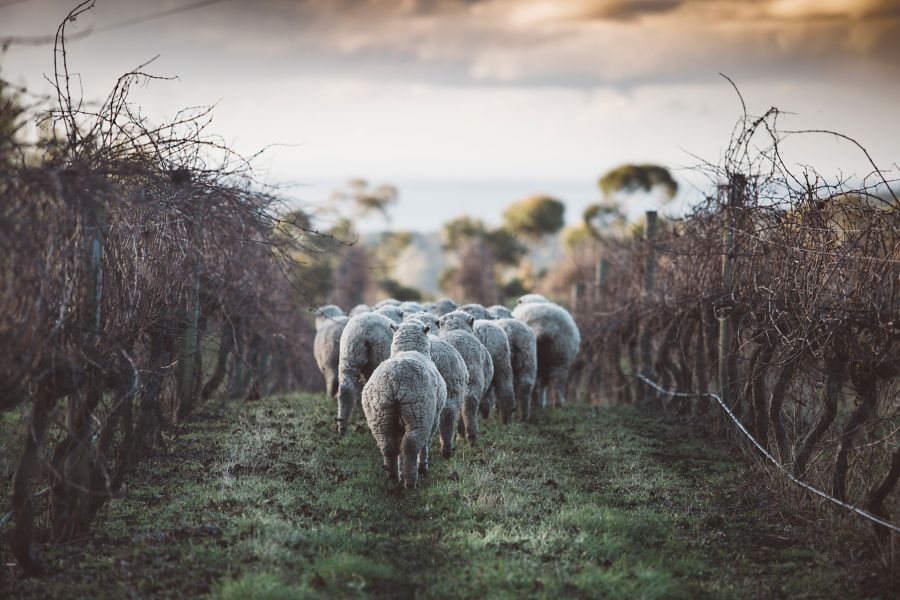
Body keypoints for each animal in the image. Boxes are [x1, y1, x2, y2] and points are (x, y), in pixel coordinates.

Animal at [361, 319, 447, 488]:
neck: (407, 349)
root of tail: (394, 380)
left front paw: (400, 470)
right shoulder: (434, 418)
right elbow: (426, 444)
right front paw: (423, 467)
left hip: (379, 414)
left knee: (388, 445)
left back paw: (393, 476)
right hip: (419, 412)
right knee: (411, 445)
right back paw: (411, 480)